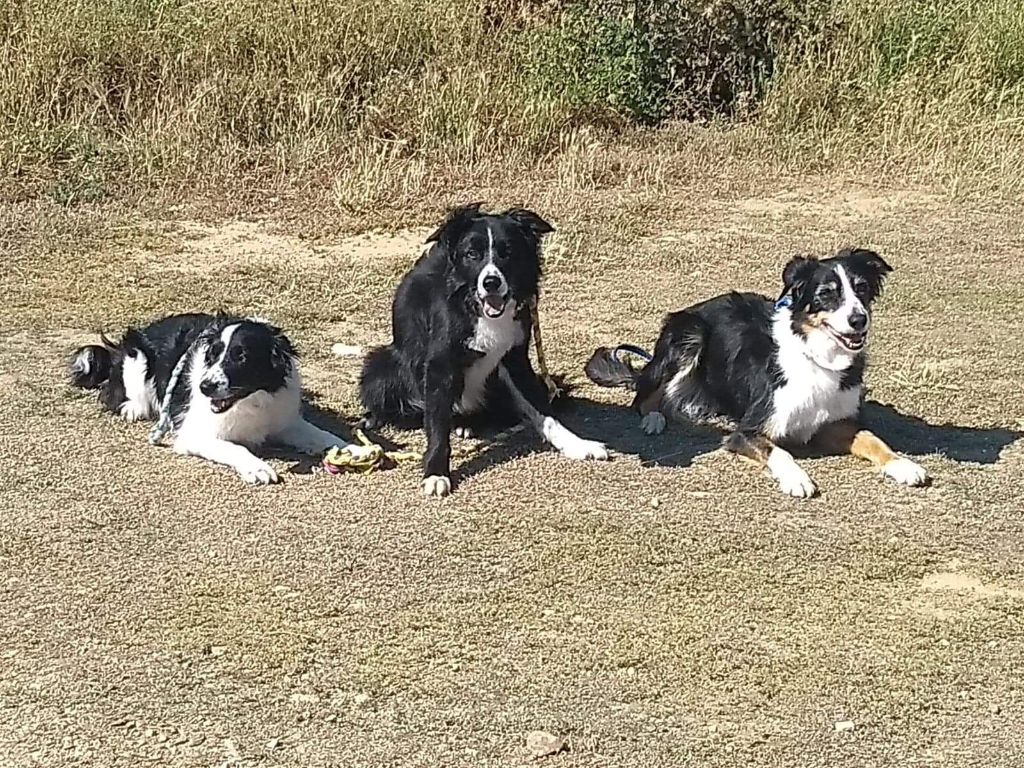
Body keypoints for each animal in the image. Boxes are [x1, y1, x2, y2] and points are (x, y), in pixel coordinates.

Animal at [585, 249, 929, 495]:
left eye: (862, 289)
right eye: (826, 294)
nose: (859, 320)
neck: (817, 357)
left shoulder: (833, 423)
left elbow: (873, 439)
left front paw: (903, 465)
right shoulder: (746, 431)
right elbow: (779, 452)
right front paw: (797, 479)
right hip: (689, 336)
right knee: (644, 395)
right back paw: (655, 418)